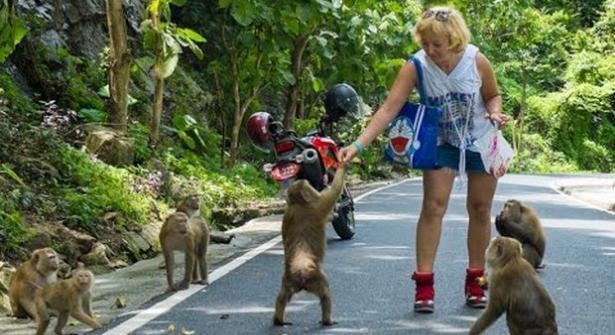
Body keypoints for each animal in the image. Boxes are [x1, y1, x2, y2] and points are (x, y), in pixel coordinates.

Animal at [274, 164, 346, 326]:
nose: (311, 184)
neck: (300, 204)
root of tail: (300, 271)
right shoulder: (318, 205)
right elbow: (334, 191)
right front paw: (343, 164)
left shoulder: (288, 213)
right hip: (316, 277)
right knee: (325, 293)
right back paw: (327, 320)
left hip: (287, 280)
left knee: (282, 296)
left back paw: (278, 319)